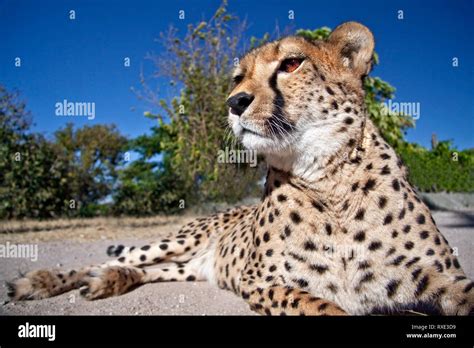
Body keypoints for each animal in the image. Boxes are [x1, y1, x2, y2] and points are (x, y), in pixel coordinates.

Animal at [5, 21, 472, 316]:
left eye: (292, 64)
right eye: (236, 78)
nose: (235, 102)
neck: (329, 179)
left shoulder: (441, 274)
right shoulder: (262, 282)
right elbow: (321, 306)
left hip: (188, 266)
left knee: (144, 270)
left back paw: (110, 280)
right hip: (178, 241)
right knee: (109, 259)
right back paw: (42, 281)